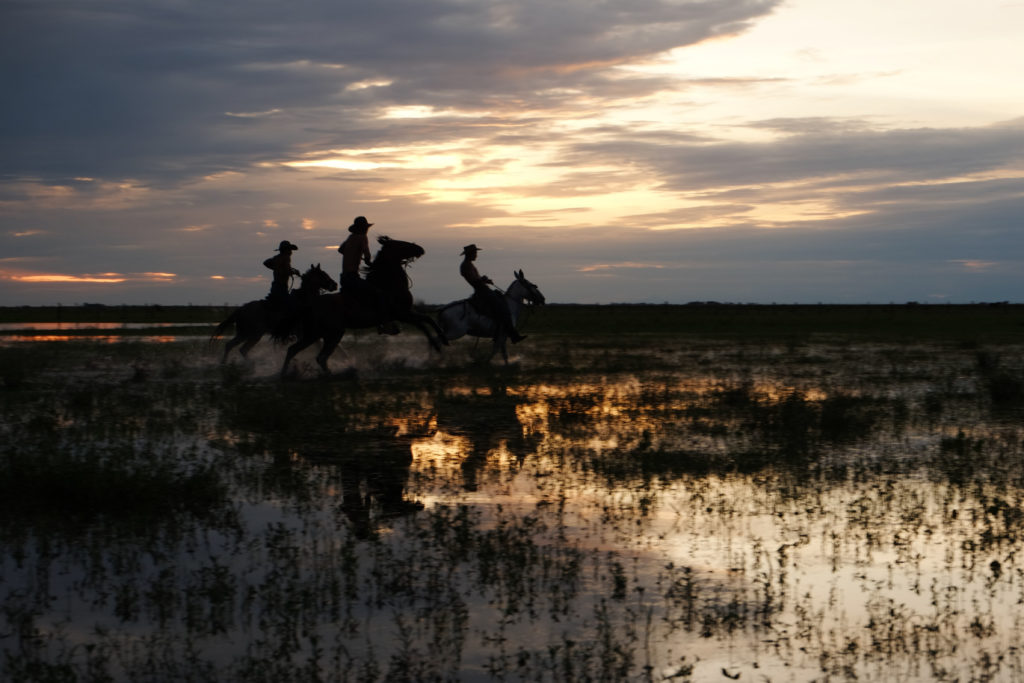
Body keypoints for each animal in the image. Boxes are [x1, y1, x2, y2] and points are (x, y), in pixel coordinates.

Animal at [274, 233, 446, 374]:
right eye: (401, 243)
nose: (420, 249)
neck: (388, 284)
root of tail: (309, 305)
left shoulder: (407, 313)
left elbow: (427, 321)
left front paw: (441, 341)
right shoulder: (402, 314)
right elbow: (423, 324)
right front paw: (438, 345)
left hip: (318, 334)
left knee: (295, 350)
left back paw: (285, 374)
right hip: (328, 333)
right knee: (318, 356)